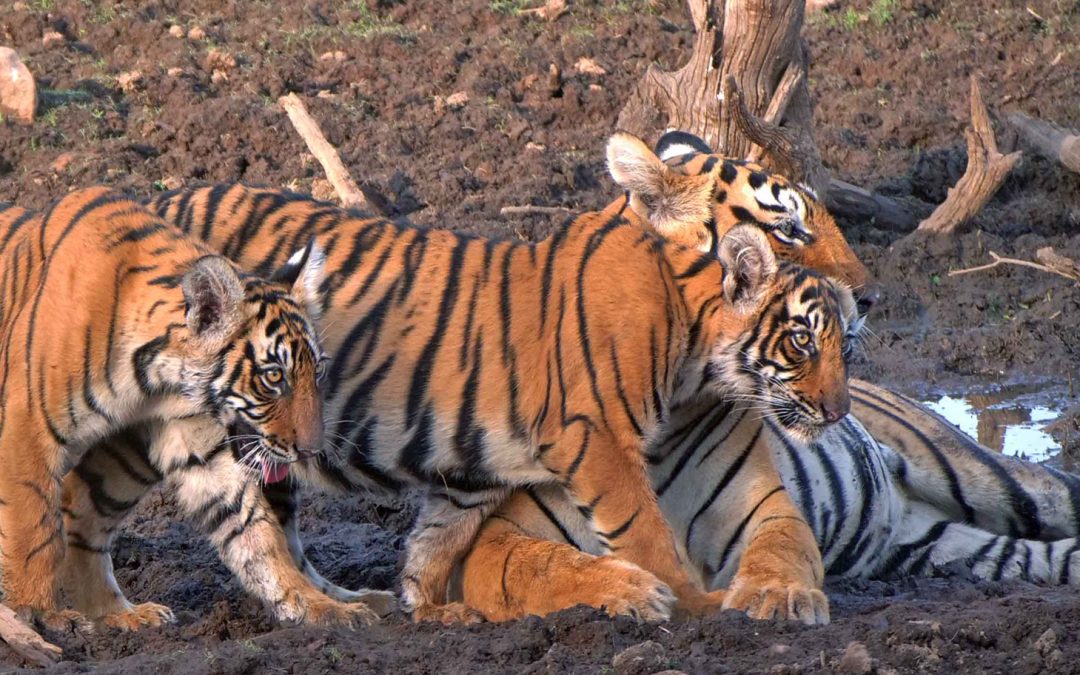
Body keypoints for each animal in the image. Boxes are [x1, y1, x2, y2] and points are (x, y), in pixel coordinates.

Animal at [0, 187, 386, 632]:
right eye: (274, 376)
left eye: (317, 371)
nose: (311, 450)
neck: (155, 381)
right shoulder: (28, 429)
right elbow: (34, 528)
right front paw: (41, 614)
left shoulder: (201, 447)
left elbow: (257, 535)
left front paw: (320, 607)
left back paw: (118, 615)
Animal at [53, 131, 861, 626]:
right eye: (790, 227)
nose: (866, 295)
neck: (696, 386)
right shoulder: (592, 443)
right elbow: (631, 542)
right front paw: (681, 601)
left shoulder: (757, 498)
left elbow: (788, 544)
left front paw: (779, 597)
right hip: (158, 426)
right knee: (79, 506)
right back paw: (100, 616)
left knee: (272, 527)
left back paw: (348, 603)